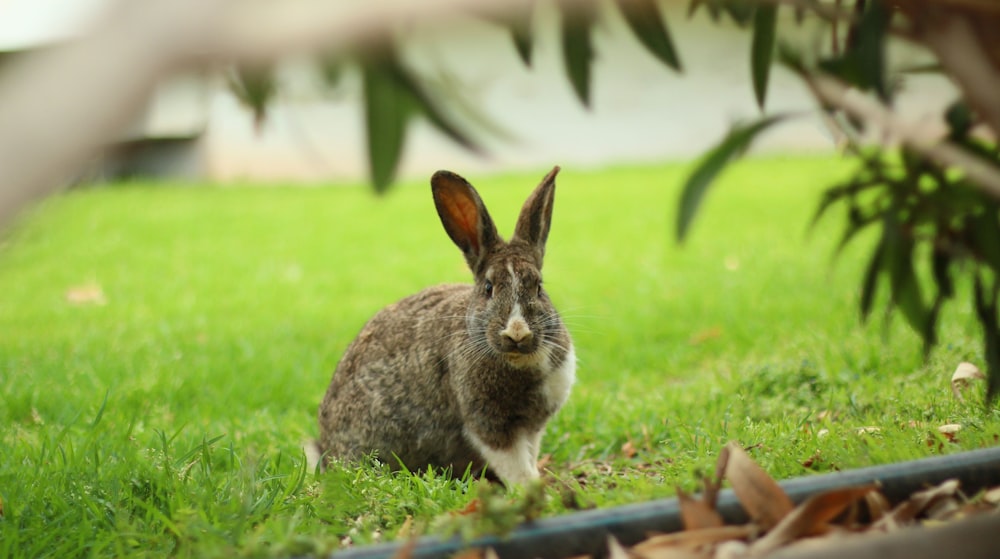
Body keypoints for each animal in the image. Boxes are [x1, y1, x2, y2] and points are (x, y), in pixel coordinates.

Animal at [312, 166, 580, 486]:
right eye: (488, 288)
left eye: (538, 287)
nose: (517, 333)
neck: (519, 359)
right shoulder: (488, 424)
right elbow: (512, 461)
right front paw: (530, 487)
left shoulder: (532, 428)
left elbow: (528, 453)